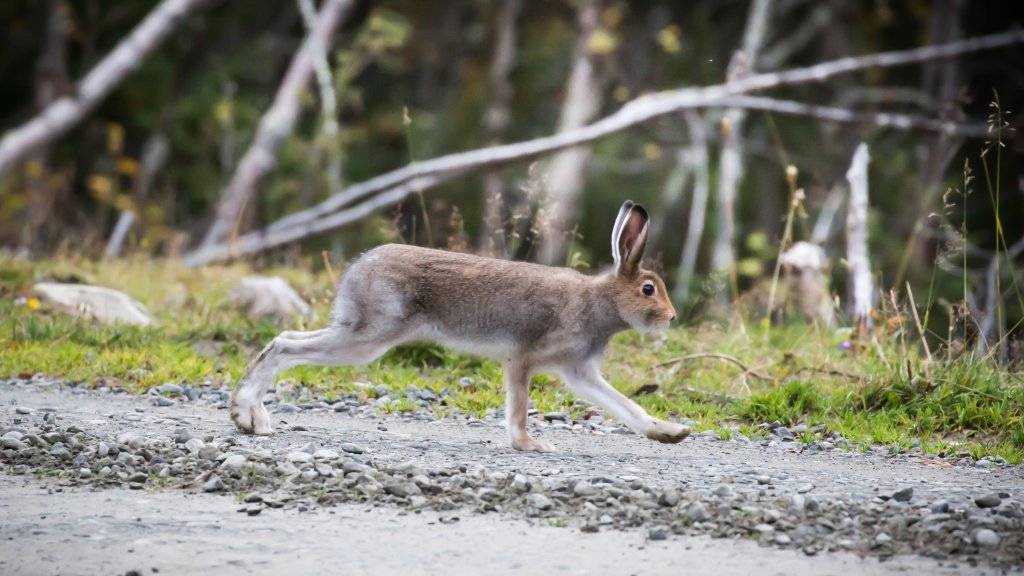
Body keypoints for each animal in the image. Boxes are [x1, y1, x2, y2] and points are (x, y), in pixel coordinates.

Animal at [231, 200, 691, 451]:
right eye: (648, 288)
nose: (671, 317)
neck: (601, 301)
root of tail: (357, 268)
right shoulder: (525, 359)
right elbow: (519, 408)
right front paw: (529, 445)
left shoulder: (580, 371)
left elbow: (626, 406)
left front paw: (670, 432)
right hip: (369, 337)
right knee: (284, 345)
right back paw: (249, 416)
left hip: (360, 333)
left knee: (285, 339)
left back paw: (251, 417)